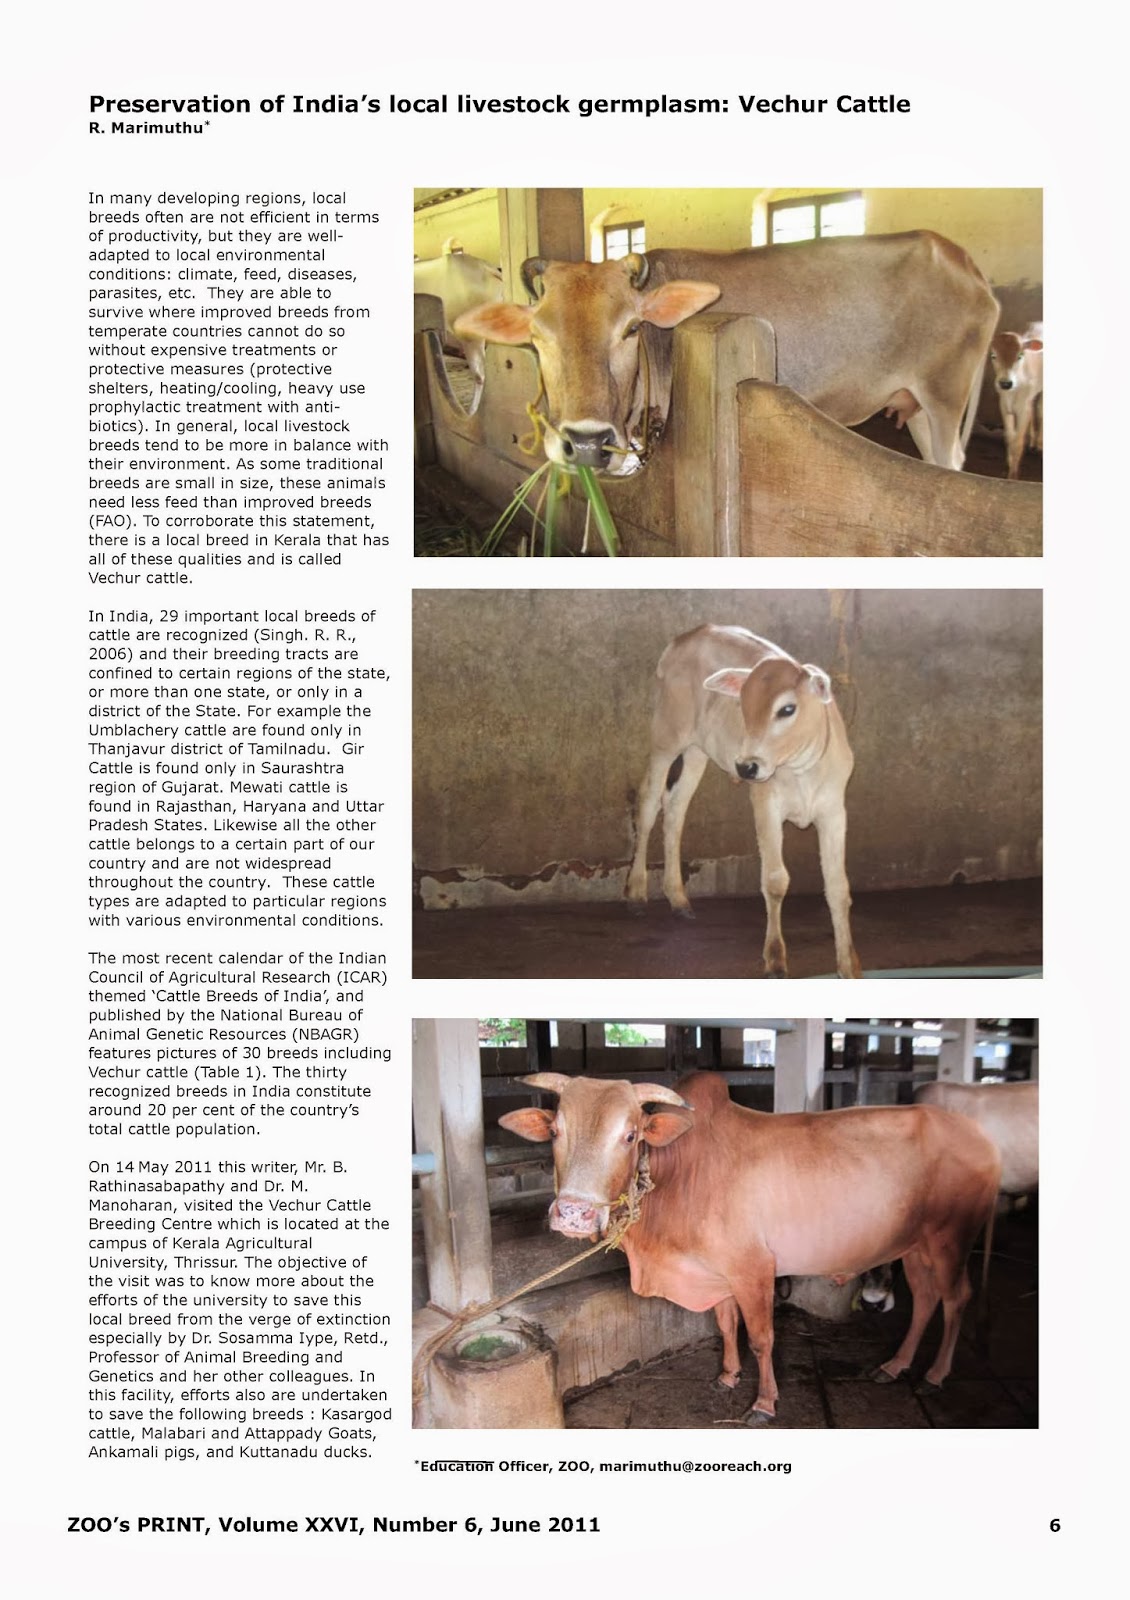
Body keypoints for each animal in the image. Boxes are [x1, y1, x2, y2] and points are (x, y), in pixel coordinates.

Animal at [453, 231, 998, 476]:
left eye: (631, 328)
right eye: (537, 335)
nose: (586, 444)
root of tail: (961, 258)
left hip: (944, 396)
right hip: (918, 404)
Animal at [500, 1071, 1001, 1425]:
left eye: (631, 1135)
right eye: (555, 1132)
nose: (573, 1214)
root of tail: (979, 1136)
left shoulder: (754, 1270)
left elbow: (761, 1338)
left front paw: (763, 1402)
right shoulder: (717, 1273)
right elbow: (725, 1325)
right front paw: (726, 1376)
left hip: (950, 1238)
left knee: (956, 1298)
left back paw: (935, 1375)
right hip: (915, 1245)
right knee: (925, 1298)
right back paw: (895, 1365)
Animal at [625, 623, 860, 979]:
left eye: (787, 708)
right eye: (744, 706)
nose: (745, 766)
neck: (802, 769)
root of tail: (686, 636)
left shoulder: (834, 810)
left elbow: (838, 888)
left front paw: (849, 965)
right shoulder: (765, 803)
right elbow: (776, 880)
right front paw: (775, 959)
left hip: (697, 750)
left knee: (676, 809)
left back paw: (679, 899)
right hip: (666, 735)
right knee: (649, 802)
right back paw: (637, 892)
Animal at [989, 325, 1043, 479]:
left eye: (1020, 356)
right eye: (993, 355)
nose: (1006, 383)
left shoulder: (1023, 409)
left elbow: (1018, 442)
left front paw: (1013, 475)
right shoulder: (1004, 406)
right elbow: (1009, 437)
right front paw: (1009, 463)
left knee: (1040, 409)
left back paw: (1039, 444)